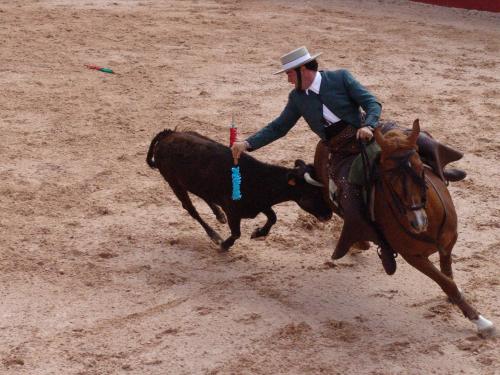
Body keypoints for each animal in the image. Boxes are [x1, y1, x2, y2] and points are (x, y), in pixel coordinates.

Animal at [146, 131, 332, 251]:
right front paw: (224, 245)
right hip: (173, 182)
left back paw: (219, 215)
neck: (260, 179)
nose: (329, 215)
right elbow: (236, 233)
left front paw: (258, 233)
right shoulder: (234, 212)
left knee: (205, 196)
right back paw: (215, 236)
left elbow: (273, 217)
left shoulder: (260, 204)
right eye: (313, 193)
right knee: (191, 209)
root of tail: (167, 135)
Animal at [374, 120, 494, 338]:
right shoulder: (412, 257)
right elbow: (446, 282)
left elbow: (448, 274)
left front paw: (459, 300)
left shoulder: (449, 240)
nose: (418, 222)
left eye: (421, 169)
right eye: (389, 178)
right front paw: (480, 321)